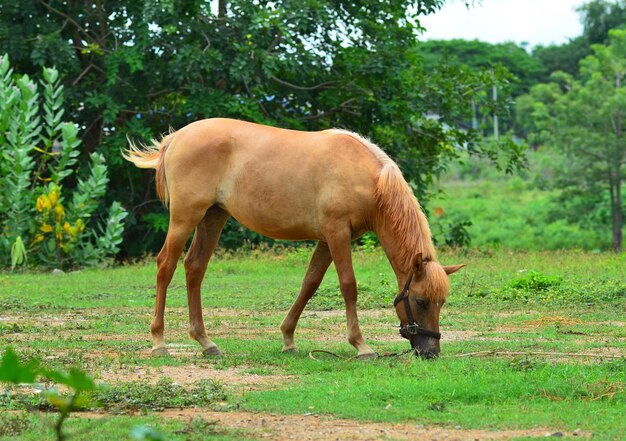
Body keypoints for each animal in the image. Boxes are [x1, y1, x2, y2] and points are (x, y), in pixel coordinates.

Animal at [124, 118, 460, 360]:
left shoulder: (327, 239)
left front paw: (288, 338)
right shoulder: (337, 234)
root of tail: (176, 138)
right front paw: (361, 346)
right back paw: (159, 341)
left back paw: (206, 343)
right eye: (420, 300)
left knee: (195, 268)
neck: (369, 179)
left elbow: (309, 284)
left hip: (213, 217)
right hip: (185, 217)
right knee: (165, 266)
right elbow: (348, 286)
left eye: (442, 301)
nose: (431, 352)